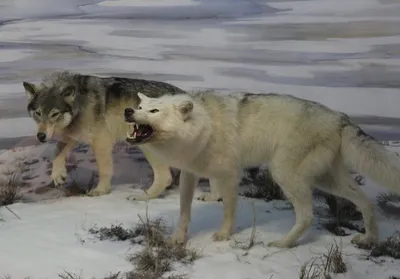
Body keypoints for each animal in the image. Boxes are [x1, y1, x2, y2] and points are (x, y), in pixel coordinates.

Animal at [24, 73, 186, 198]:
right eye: (38, 113)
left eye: (54, 114)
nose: (41, 136)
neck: (80, 103)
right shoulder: (74, 133)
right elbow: (57, 150)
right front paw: (58, 175)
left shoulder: (101, 142)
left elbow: (104, 170)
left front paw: (101, 191)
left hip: (146, 146)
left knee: (165, 177)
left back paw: (141, 197)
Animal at [123, 91, 400, 249]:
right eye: (140, 108)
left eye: (154, 111)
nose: (128, 111)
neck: (205, 127)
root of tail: (340, 117)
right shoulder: (190, 174)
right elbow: (184, 212)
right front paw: (178, 239)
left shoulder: (230, 175)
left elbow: (228, 210)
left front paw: (224, 235)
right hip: (326, 180)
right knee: (364, 201)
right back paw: (369, 238)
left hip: (284, 174)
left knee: (308, 216)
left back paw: (282, 244)